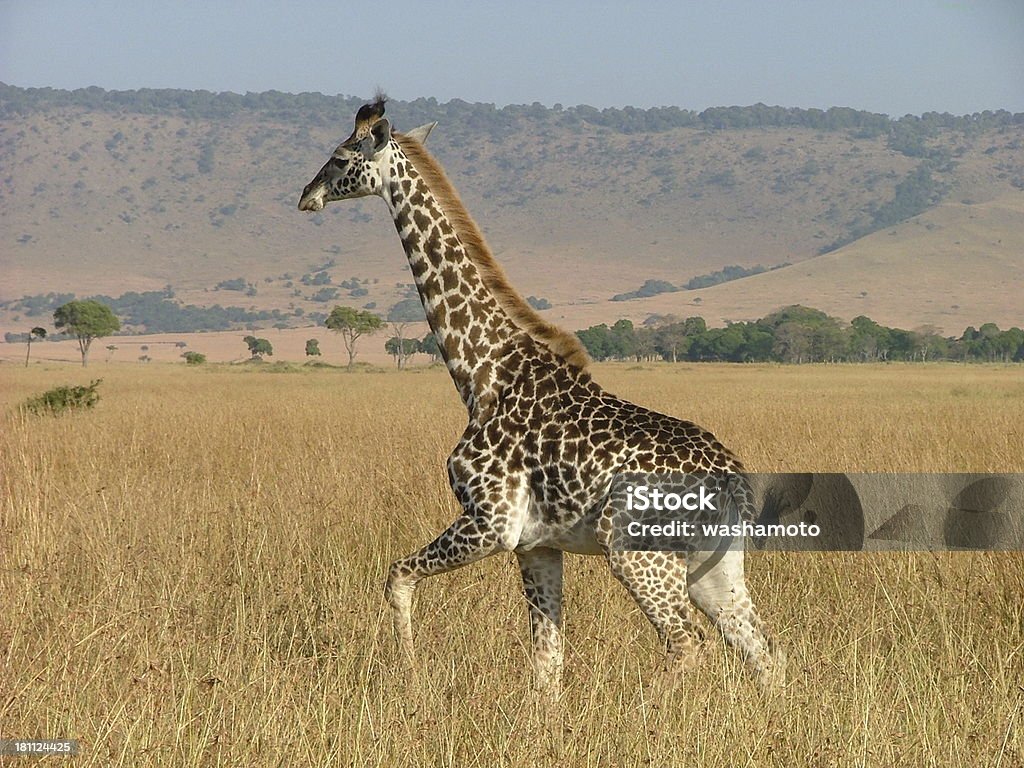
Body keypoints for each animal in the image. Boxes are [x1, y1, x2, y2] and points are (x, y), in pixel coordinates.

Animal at [296, 99, 782, 700]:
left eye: (341, 157)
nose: (306, 195)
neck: (482, 373)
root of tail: (734, 480)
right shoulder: (537, 544)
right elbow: (546, 660)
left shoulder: (492, 522)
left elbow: (397, 576)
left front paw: (410, 676)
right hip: (716, 565)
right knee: (761, 650)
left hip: (639, 555)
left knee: (688, 645)